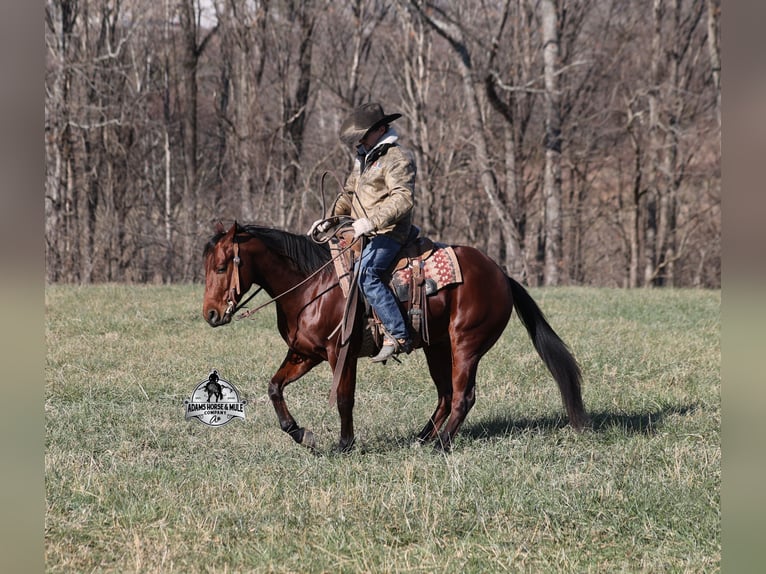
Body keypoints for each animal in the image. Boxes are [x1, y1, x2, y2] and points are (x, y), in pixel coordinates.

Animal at [202, 221, 588, 452]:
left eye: (221, 267)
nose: (210, 315)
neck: (312, 286)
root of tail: (500, 274)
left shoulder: (340, 353)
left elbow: (344, 399)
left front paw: (344, 444)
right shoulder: (305, 353)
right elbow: (274, 387)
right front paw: (302, 434)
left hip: (465, 345)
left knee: (463, 396)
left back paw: (440, 444)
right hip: (437, 347)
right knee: (446, 395)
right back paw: (422, 438)